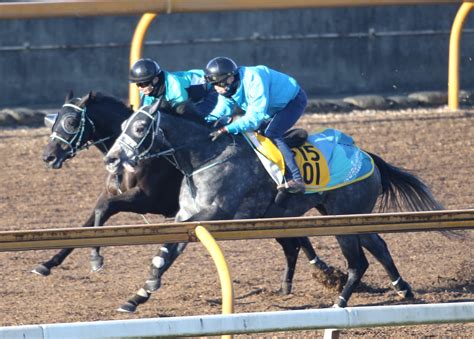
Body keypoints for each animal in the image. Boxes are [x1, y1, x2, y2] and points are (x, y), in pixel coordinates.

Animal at [104, 103, 440, 314]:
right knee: (379, 246)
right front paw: (138, 296)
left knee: (359, 262)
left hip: (343, 219)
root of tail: (365, 155)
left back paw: (340, 302)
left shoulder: (214, 214)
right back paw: (403, 289)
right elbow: (164, 253)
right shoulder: (186, 216)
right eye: (122, 125)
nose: (111, 158)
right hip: (349, 215)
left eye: (140, 127)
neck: (205, 156)